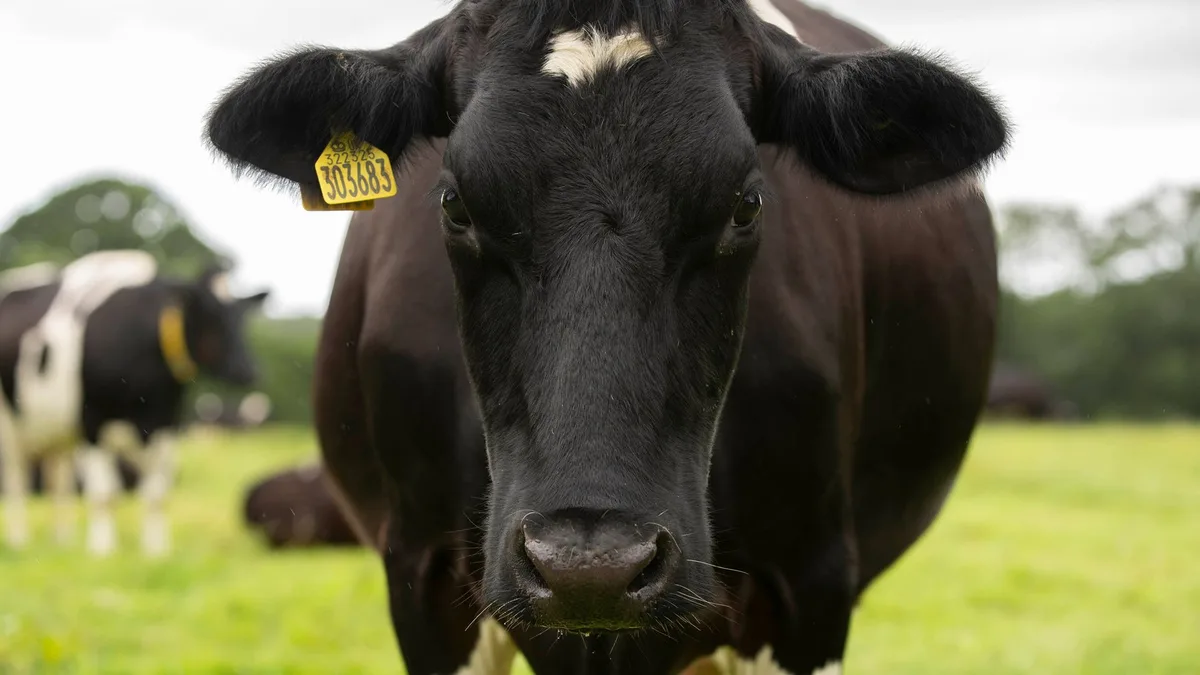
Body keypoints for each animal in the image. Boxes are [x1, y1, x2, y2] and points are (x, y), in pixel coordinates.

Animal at [0, 250, 268, 557]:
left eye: (241, 317)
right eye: (211, 315)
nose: (248, 370)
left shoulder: (165, 424)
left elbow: (156, 494)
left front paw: (156, 550)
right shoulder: (92, 422)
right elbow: (104, 494)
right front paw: (102, 549)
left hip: (57, 434)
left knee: (59, 482)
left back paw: (62, 541)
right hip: (11, 428)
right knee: (16, 481)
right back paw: (19, 540)